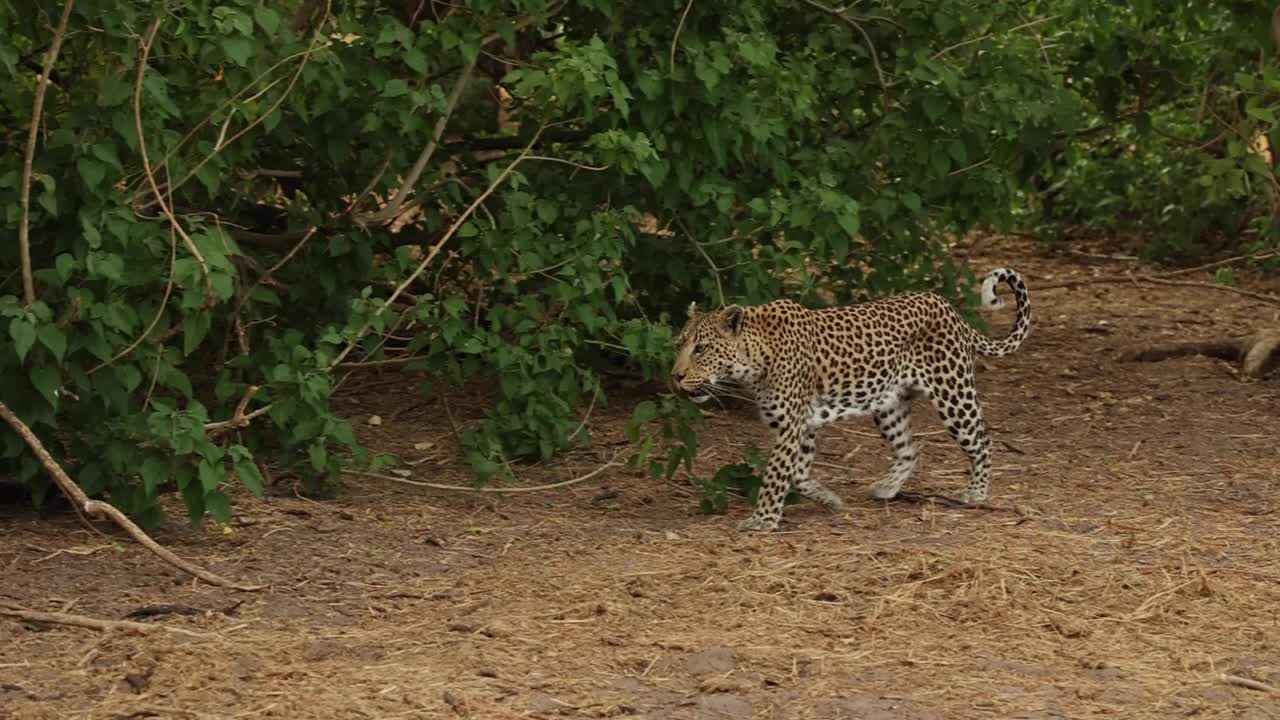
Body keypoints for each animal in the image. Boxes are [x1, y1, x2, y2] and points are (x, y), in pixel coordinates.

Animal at [671, 268, 1032, 532]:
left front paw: (762, 520)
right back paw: (887, 487)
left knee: (982, 440)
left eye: (701, 348)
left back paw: (976, 491)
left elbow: (775, 474)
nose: (675, 376)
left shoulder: (791, 426)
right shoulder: (805, 426)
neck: (754, 358)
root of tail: (951, 310)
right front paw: (830, 499)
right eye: (679, 344)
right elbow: (797, 474)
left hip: (953, 392)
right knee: (909, 449)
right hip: (888, 405)